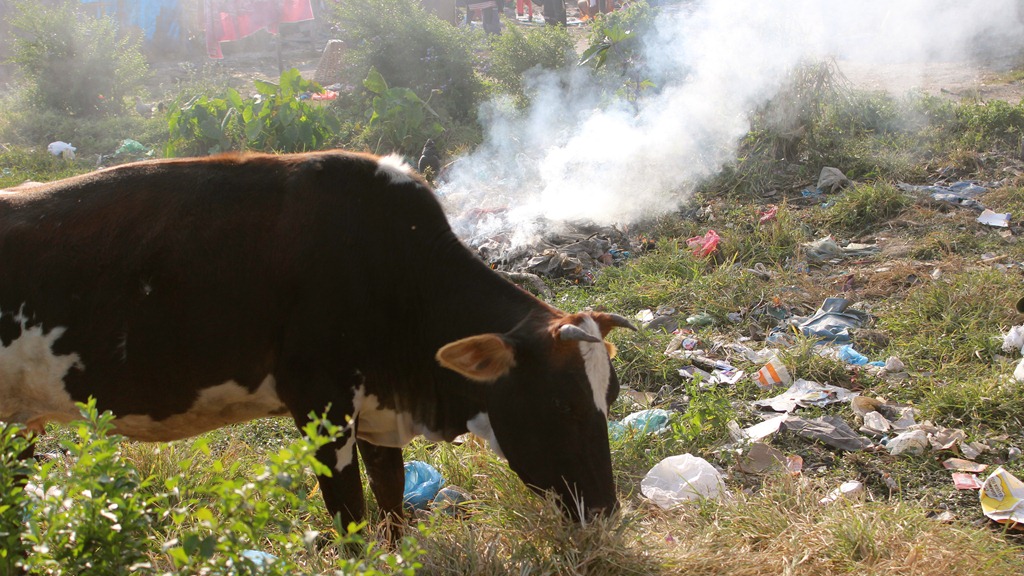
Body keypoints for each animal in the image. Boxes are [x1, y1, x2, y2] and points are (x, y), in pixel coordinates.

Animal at [0, 150, 634, 536]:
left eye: (612, 398)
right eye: (562, 405)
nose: (606, 513)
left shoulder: (377, 411)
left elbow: (392, 507)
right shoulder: (320, 407)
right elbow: (351, 518)